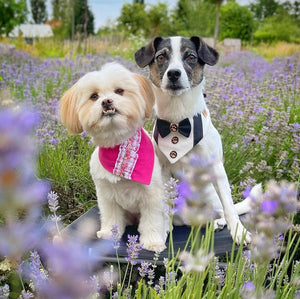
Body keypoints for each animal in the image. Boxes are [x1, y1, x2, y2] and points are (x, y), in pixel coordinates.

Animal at [59, 63, 169, 253]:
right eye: (94, 96)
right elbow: (111, 217)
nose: (106, 101)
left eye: (119, 91)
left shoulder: (152, 195)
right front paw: (109, 234)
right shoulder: (106, 194)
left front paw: (152, 242)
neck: (119, 147)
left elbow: (152, 220)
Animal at [135, 36, 258, 245]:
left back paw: (218, 222)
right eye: (161, 57)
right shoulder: (164, 170)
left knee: (220, 210)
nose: (174, 73)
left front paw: (239, 232)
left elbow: (229, 206)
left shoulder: (216, 167)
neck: (178, 122)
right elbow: (164, 206)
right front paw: (162, 230)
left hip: (211, 194)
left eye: (191, 57)